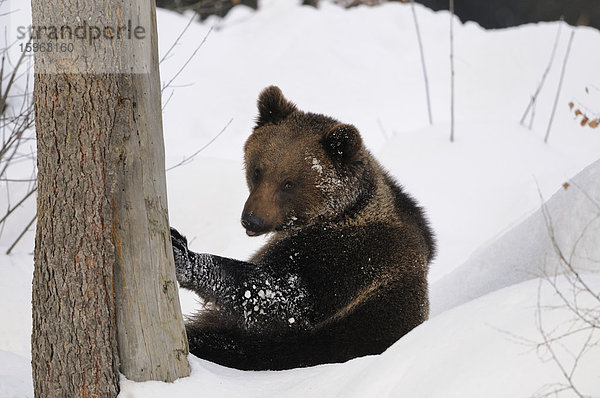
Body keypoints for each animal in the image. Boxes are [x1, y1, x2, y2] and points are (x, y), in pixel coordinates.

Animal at [170, 86, 436, 370]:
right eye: (257, 170)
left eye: (288, 183)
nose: (251, 220)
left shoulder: (350, 258)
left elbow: (281, 298)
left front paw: (184, 255)